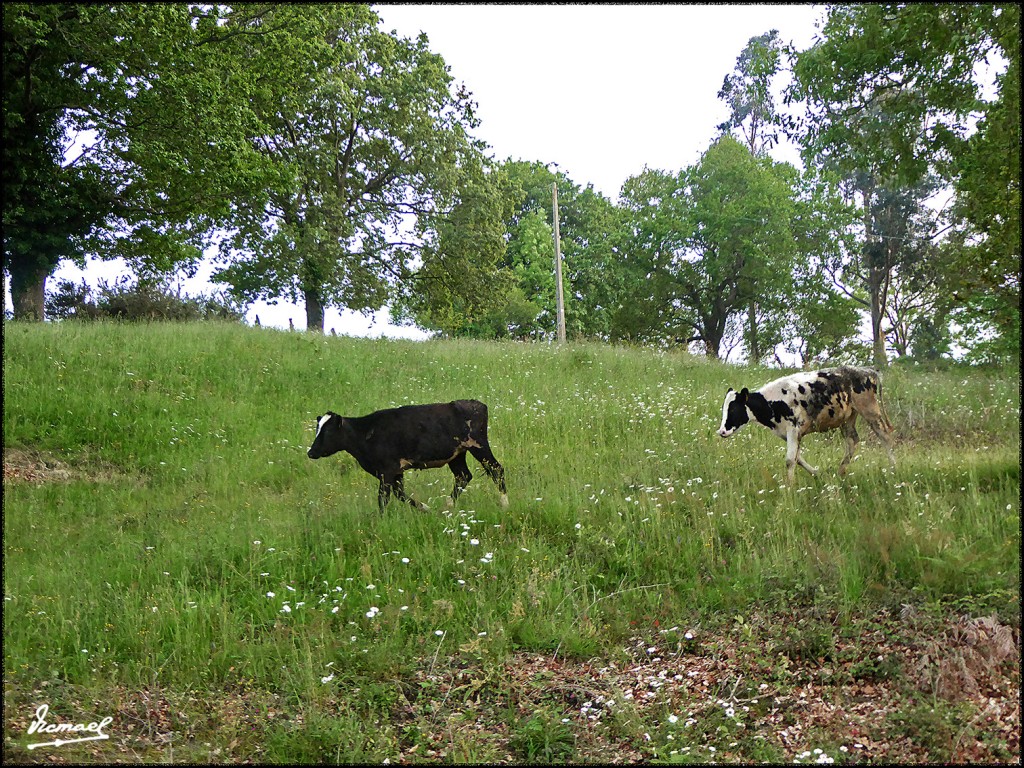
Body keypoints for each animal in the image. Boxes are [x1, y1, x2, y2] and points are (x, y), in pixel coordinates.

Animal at [307, 399, 507, 514]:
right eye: (317, 429)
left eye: (328, 431)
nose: (311, 452)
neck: (366, 433)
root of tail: (477, 404)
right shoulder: (396, 472)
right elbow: (400, 494)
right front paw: (425, 508)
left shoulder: (386, 471)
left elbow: (383, 499)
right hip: (457, 455)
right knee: (463, 476)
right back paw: (447, 506)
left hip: (478, 446)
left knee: (496, 469)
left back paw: (505, 504)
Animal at [720, 368, 897, 487]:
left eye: (734, 409)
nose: (722, 431)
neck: (774, 401)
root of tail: (868, 371)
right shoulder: (788, 434)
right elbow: (797, 458)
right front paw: (817, 473)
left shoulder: (793, 430)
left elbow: (790, 460)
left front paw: (790, 487)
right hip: (848, 418)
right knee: (853, 441)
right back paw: (840, 472)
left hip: (870, 410)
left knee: (884, 436)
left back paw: (893, 468)